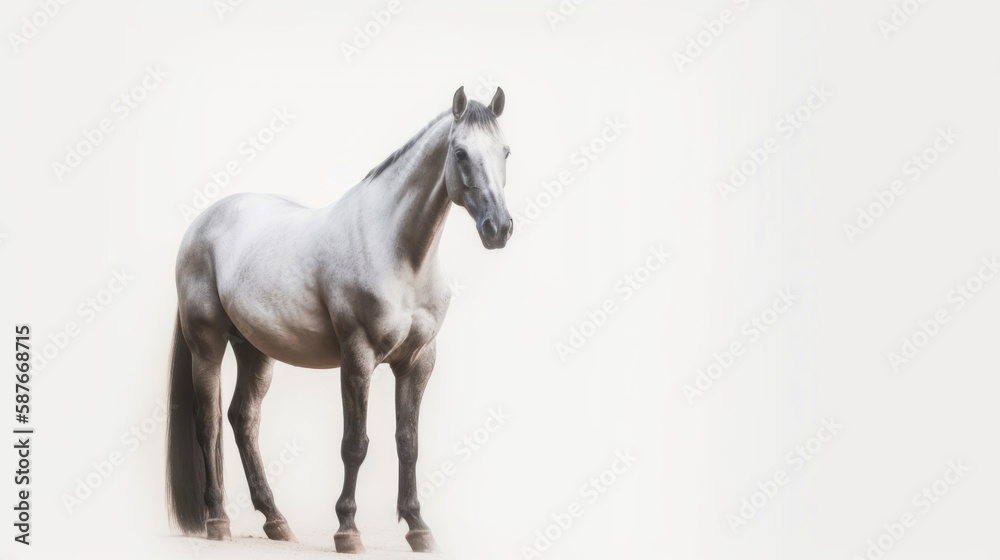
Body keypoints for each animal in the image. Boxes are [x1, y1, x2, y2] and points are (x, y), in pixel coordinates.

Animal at [166, 86, 512, 553]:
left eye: (505, 151)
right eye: (460, 153)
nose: (499, 228)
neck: (399, 254)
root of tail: (201, 224)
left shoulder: (419, 361)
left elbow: (408, 443)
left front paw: (418, 528)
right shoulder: (357, 357)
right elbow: (355, 444)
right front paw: (347, 529)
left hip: (254, 350)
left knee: (243, 420)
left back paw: (276, 521)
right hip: (207, 345)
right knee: (209, 424)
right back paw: (218, 520)